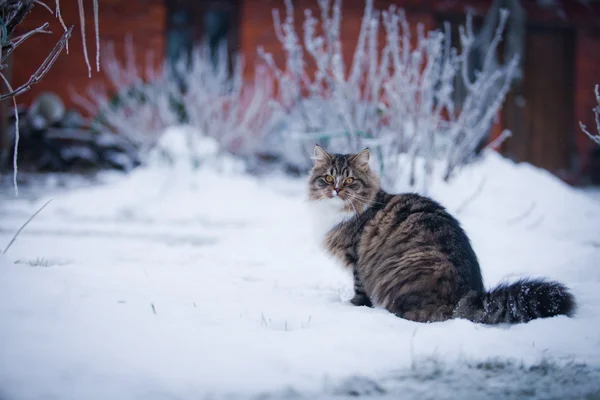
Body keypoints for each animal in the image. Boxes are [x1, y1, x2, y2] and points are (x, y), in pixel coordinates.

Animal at [310, 145, 576, 324]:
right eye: (329, 178)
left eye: (350, 180)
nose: (336, 190)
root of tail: (466, 296)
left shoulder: (357, 259)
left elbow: (360, 289)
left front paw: (354, 306)